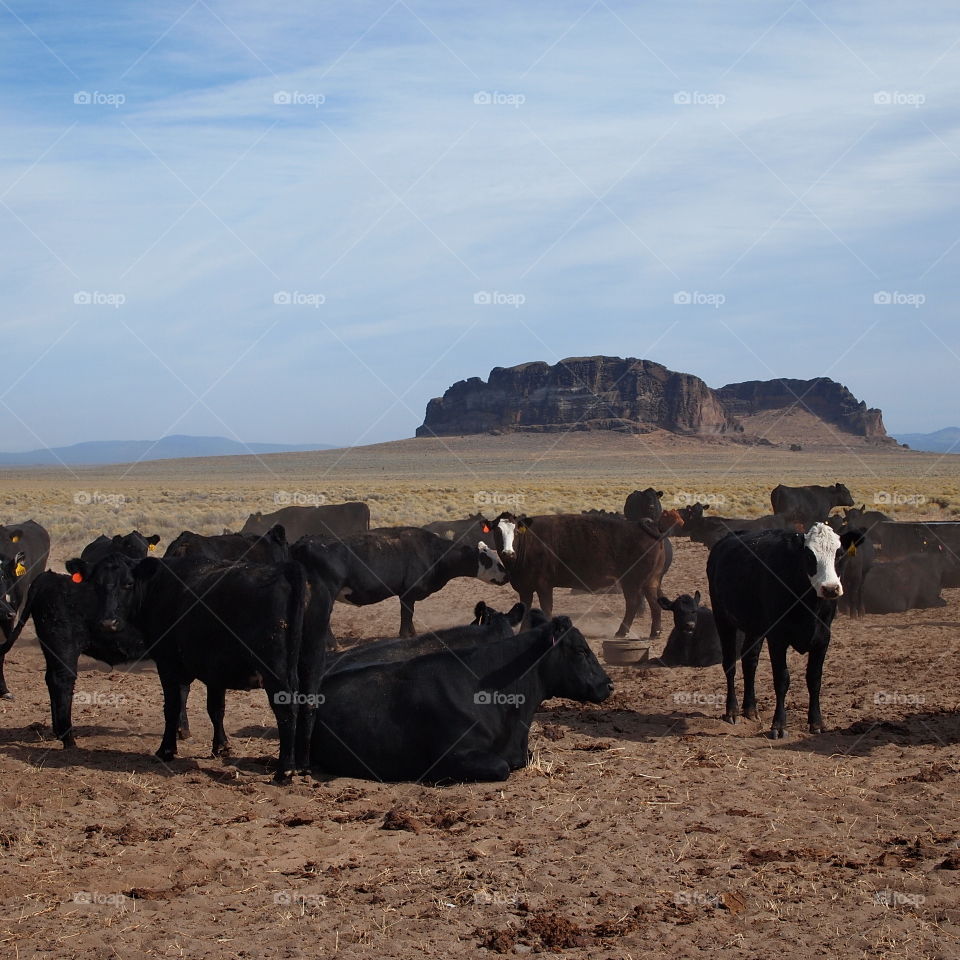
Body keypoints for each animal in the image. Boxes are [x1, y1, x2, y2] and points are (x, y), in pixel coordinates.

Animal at [292, 524, 506, 636]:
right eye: (489, 560)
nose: (506, 574)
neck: (433, 553)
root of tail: (304, 541)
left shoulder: (407, 596)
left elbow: (409, 617)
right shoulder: (407, 595)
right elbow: (406, 617)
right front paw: (406, 636)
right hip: (326, 593)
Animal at [488, 510, 668, 636]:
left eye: (516, 532)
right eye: (497, 532)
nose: (508, 553)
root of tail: (642, 528)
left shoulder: (544, 585)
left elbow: (546, 607)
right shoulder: (525, 587)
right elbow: (526, 608)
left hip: (632, 582)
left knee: (633, 603)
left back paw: (621, 632)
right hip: (651, 581)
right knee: (654, 602)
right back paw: (655, 632)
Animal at [704, 520, 864, 740]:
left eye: (839, 554)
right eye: (809, 555)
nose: (830, 588)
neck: (808, 605)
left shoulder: (823, 638)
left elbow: (814, 679)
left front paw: (817, 723)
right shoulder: (777, 639)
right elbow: (781, 679)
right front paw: (779, 725)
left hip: (755, 626)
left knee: (749, 661)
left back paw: (750, 709)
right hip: (723, 618)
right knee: (730, 664)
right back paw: (732, 711)